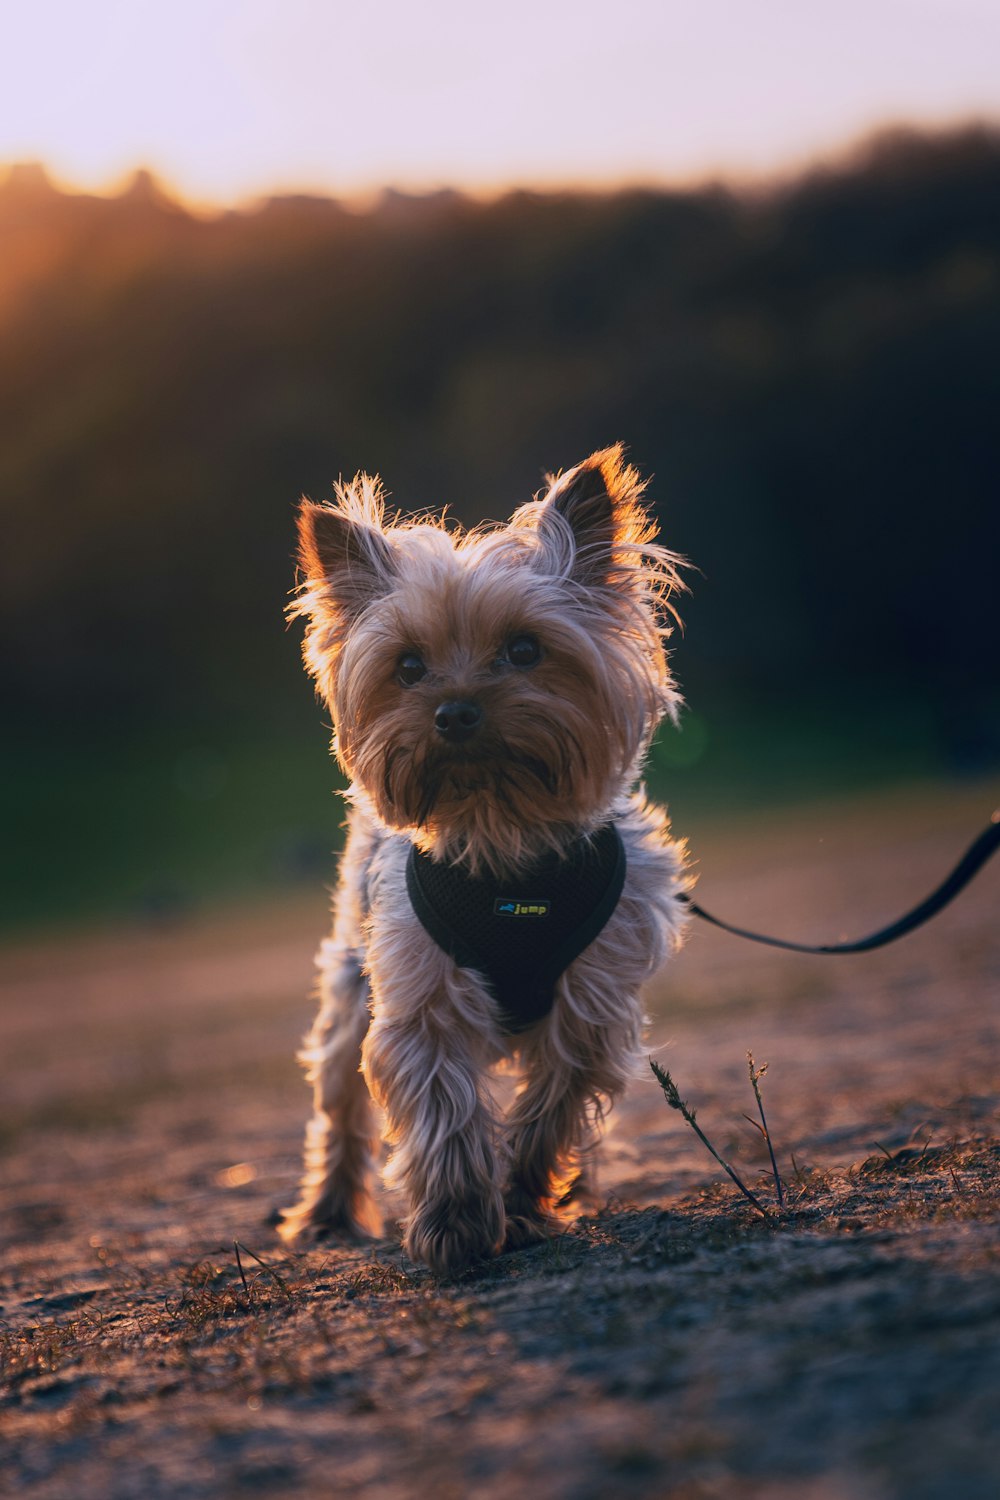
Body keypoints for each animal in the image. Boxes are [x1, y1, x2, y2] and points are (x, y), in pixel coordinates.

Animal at [277, 447, 692, 1278]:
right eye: (408, 667)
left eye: (526, 649)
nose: (455, 710)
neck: (504, 845)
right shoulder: (420, 995)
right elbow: (444, 1110)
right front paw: (456, 1224)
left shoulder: (591, 1004)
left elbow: (548, 1113)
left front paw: (526, 1203)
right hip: (349, 985)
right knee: (339, 1109)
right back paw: (328, 1214)